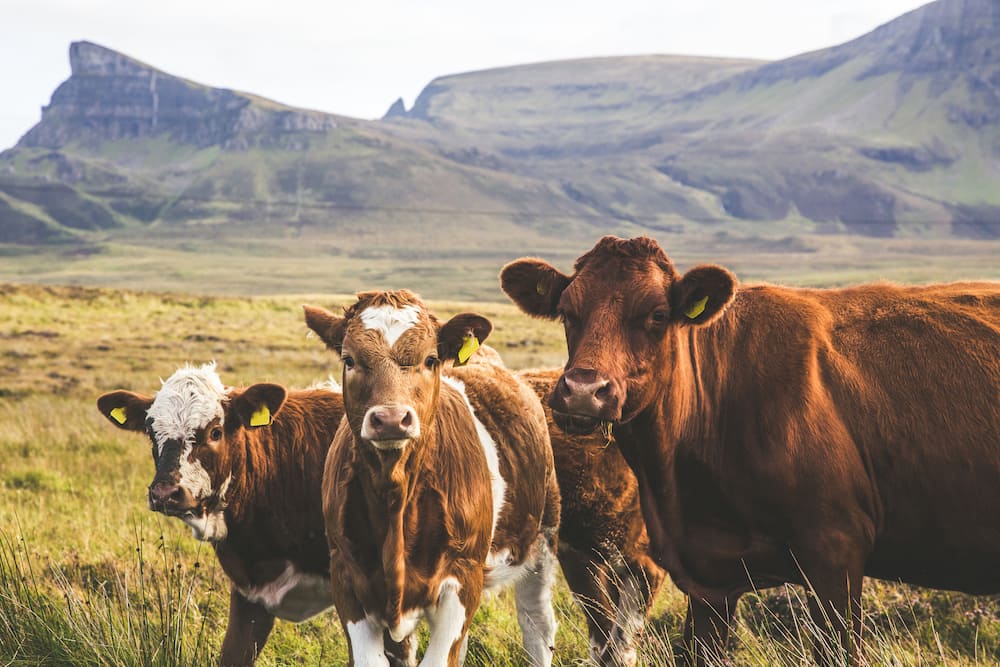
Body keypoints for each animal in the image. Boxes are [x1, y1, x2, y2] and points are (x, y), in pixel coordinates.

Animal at [302, 292, 564, 667]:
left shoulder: (462, 575)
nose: (391, 419)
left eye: (430, 359)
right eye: (349, 360)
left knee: (537, 624)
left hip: (542, 539)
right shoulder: (346, 576)